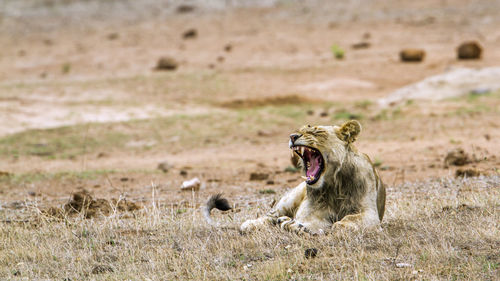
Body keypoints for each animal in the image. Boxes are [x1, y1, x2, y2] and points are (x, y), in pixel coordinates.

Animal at [205, 119, 384, 233]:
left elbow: (351, 219)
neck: (334, 183)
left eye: (318, 132)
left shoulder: (370, 212)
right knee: (270, 216)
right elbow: (308, 222)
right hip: (289, 199)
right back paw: (255, 224)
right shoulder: (312, 213)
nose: (292, 136)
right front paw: (295, 226)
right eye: (300, 130)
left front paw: (340, 225)